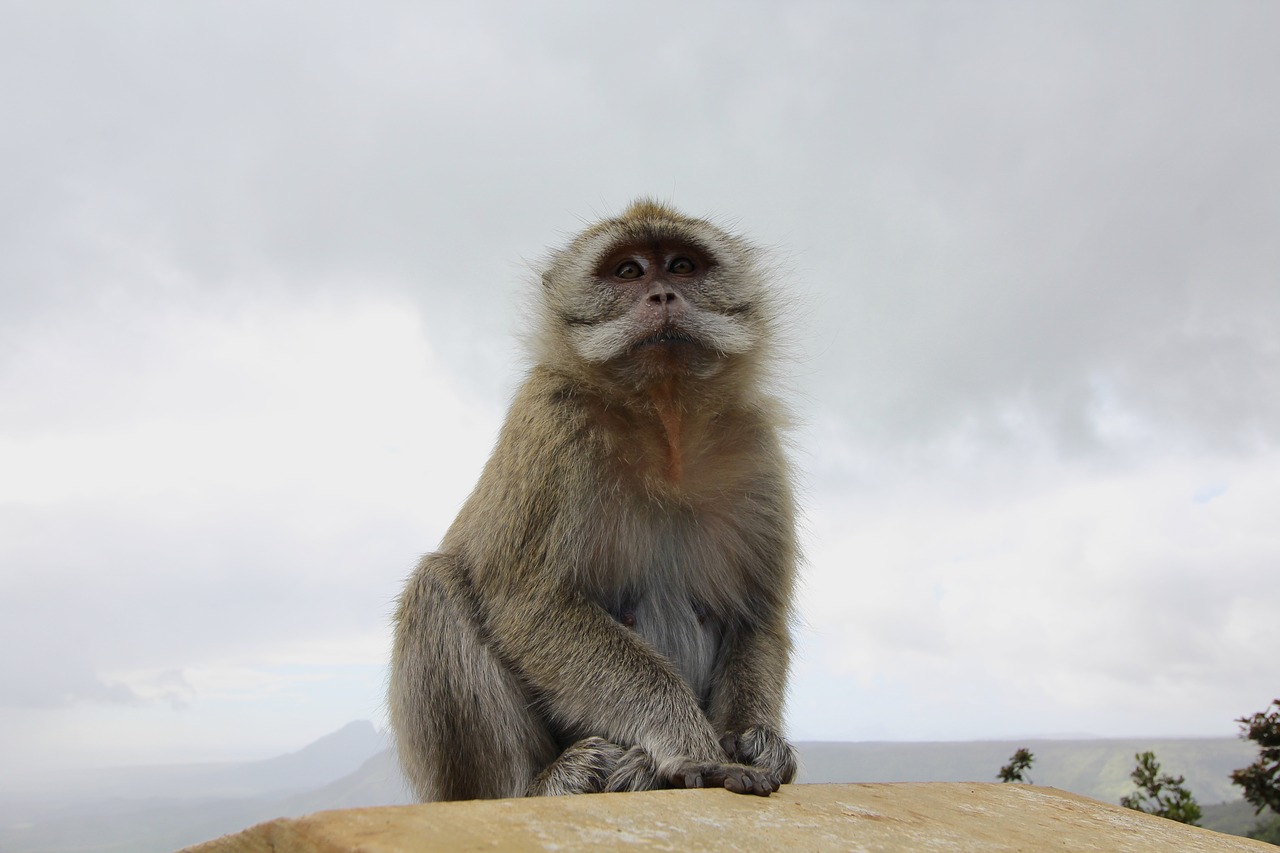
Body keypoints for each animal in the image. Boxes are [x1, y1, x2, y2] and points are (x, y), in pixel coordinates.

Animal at [384, 197, 793, 799]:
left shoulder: (754, 441)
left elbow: (755, 616)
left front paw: (755, 740)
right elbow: (532, 603)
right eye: (627, 271)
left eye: (682, 266)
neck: (663, 422)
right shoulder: (554, 422)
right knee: (434, 588)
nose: (662, 296)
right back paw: (544, 782)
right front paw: (689, 741)